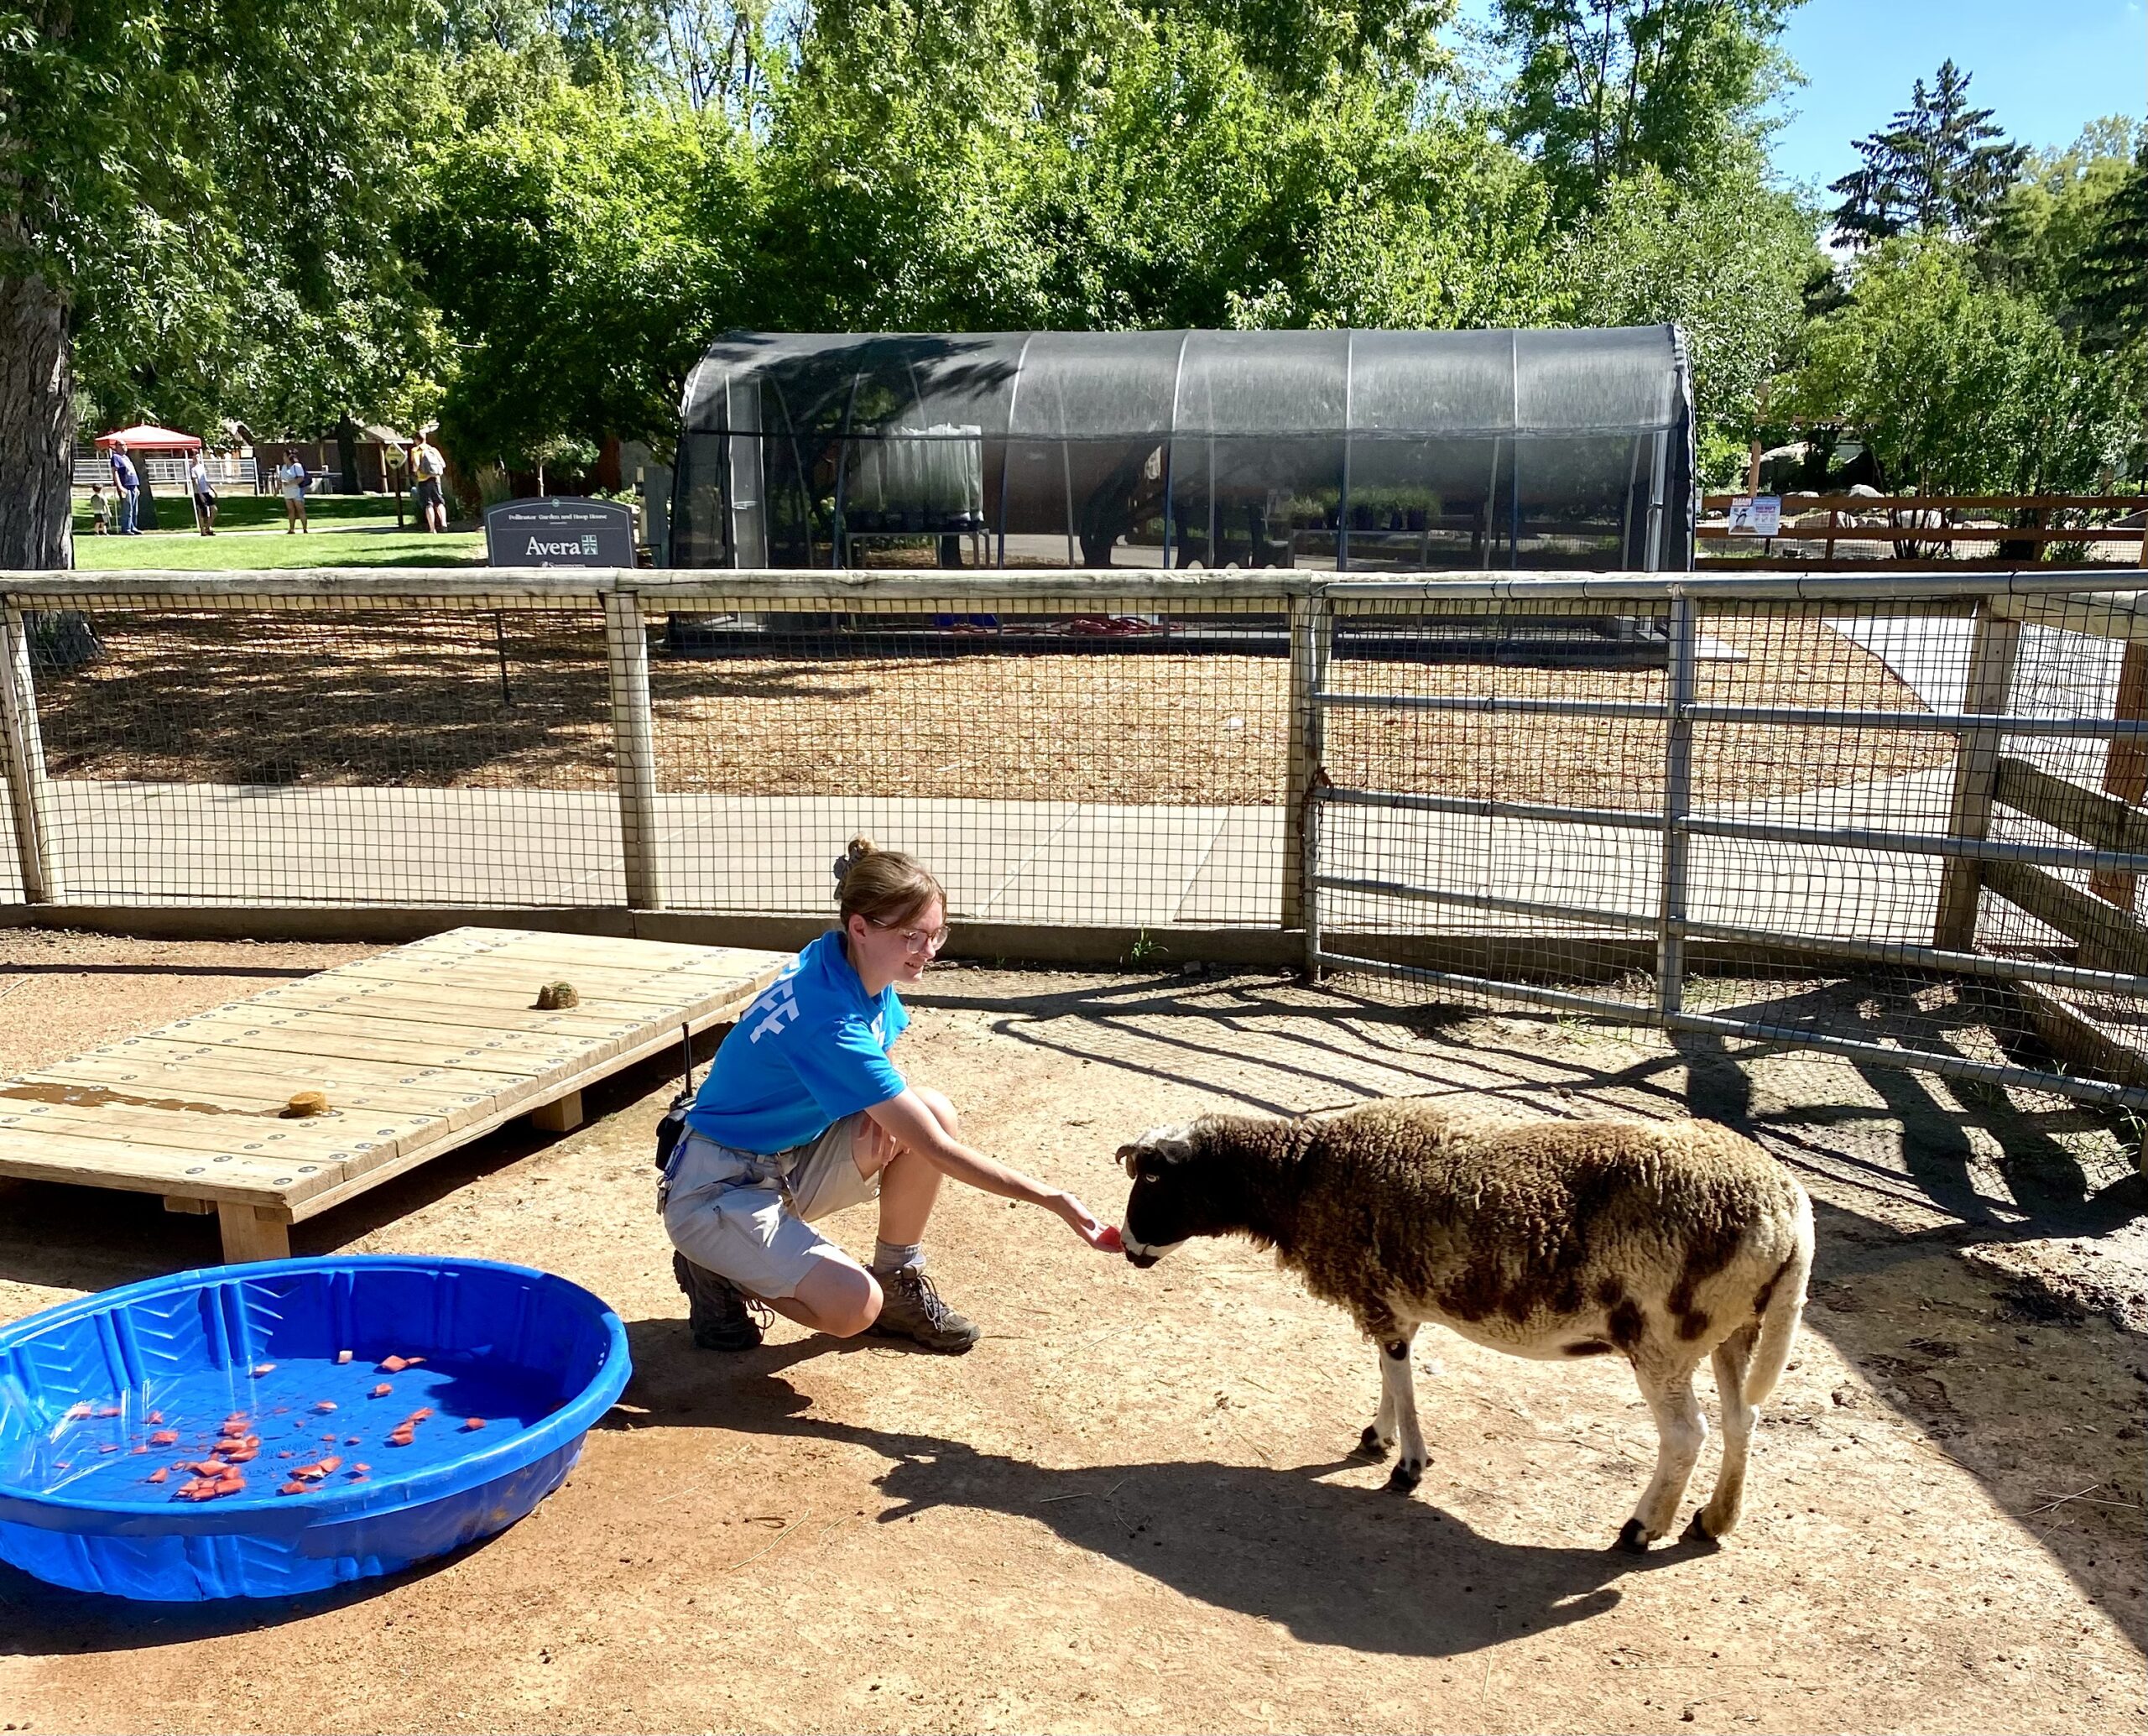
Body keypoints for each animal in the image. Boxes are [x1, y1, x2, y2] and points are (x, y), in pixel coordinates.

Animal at [1125, 1100, 1812, 1546]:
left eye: (1155, 1177)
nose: (1128, 1248)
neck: (1300, 1181)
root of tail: (1790, 1213)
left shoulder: (1379, 1296)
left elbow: (1400, 1377)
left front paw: (1408, 1465)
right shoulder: (1392, 1299)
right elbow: (1390, 1370)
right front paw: (1377, 1437)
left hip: (1663, 1334)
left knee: (1688, 1434)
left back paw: (1642, 1527)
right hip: (1734, 1327)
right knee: (1743, 1417)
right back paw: (1715, 1520)